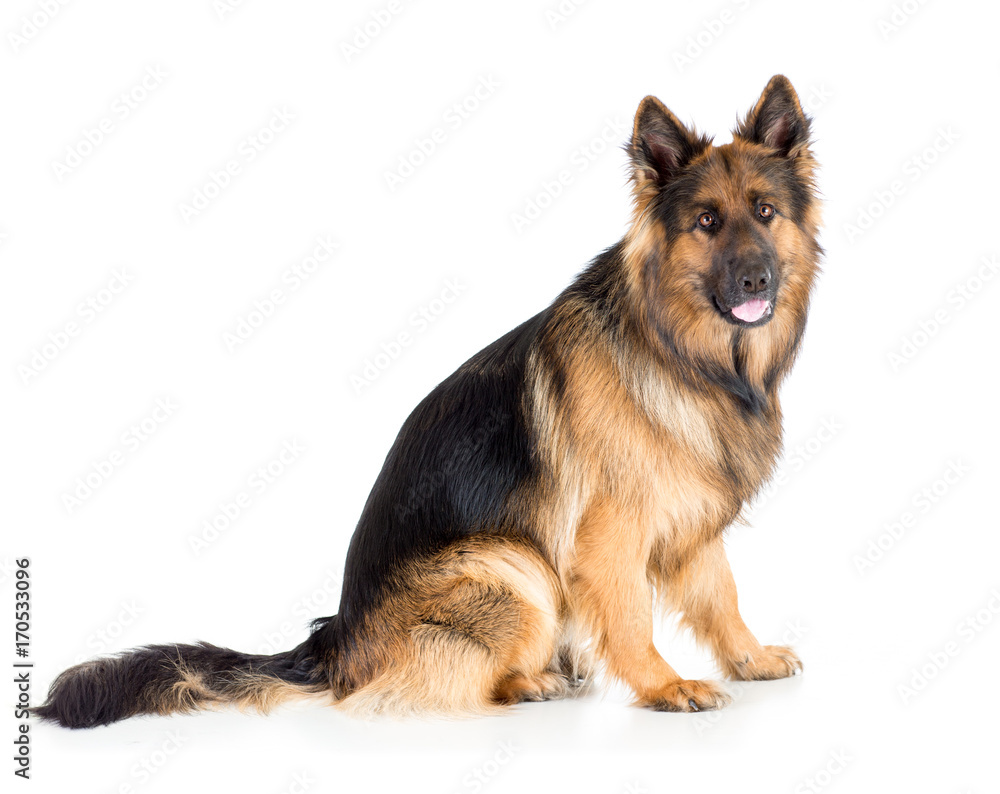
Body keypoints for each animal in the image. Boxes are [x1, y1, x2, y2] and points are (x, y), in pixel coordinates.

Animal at [37, 74, 820, 724]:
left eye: (765, 212)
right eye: (707, 222)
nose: (755, 280)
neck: (682, 352)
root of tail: (335, 642)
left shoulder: (692, 519)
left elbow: (722, 596)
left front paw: (749, 658)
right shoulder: (608, 537)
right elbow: (631, 619)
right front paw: (663, 685)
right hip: (511, 566)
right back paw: (530, 680)